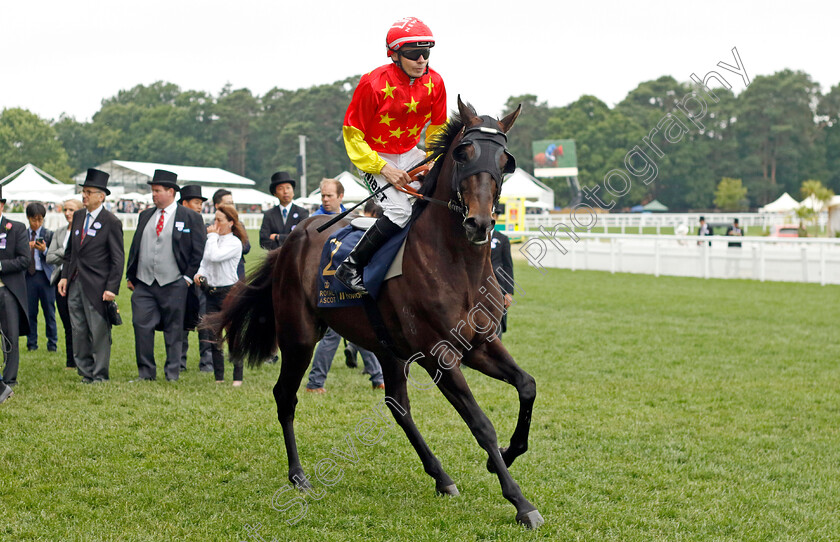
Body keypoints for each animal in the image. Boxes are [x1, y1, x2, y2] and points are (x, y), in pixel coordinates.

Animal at [212, 98, 544, 532]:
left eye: (506, 161)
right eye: (463, 153)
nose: (480, 222)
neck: (457, 265)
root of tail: (294, 236)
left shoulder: (481, 344)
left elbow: (527, 385)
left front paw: (504, 454)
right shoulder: (440, 354)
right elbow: (480, 423)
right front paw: (520, 501)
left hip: (388, 348)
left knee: (397, 405)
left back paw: (441, 476)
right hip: (299, 337)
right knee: (285, 396)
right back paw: (298, 475)